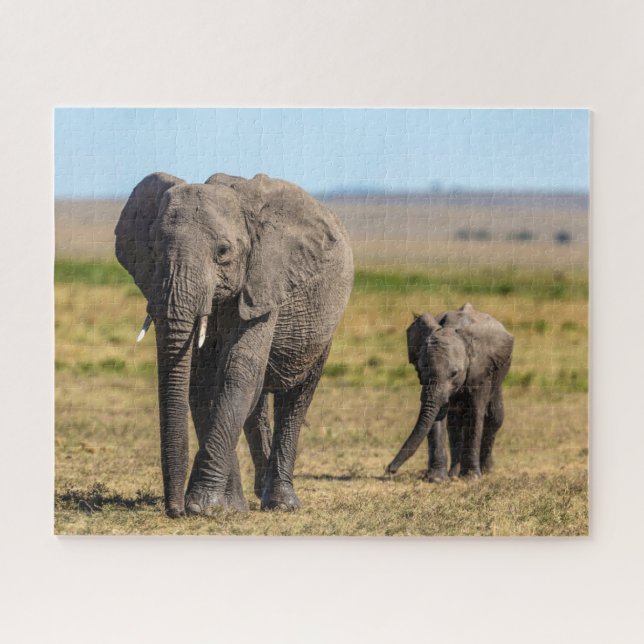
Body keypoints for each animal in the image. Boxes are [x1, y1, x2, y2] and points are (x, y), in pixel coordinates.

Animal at [115, 172, 353, 517]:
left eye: (223, 252)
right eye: (154, 250)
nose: (174, 510)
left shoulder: (266, 281)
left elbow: (237, 368)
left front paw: (202, 506)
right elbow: (202, 380)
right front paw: (228, 508)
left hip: (324, 326)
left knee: (295, 397)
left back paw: (281, 504)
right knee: (256, 404)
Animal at [385, 304, 513, 480]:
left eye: (454, 373)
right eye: (421, 369)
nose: (389, 469)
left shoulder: (480, 368)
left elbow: (475, 412)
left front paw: (471, 478)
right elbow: (438, 415)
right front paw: (436, 479)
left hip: (500, 370)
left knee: (494, 417)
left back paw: (486, 471)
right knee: (454, 423)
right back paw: (453, 474)